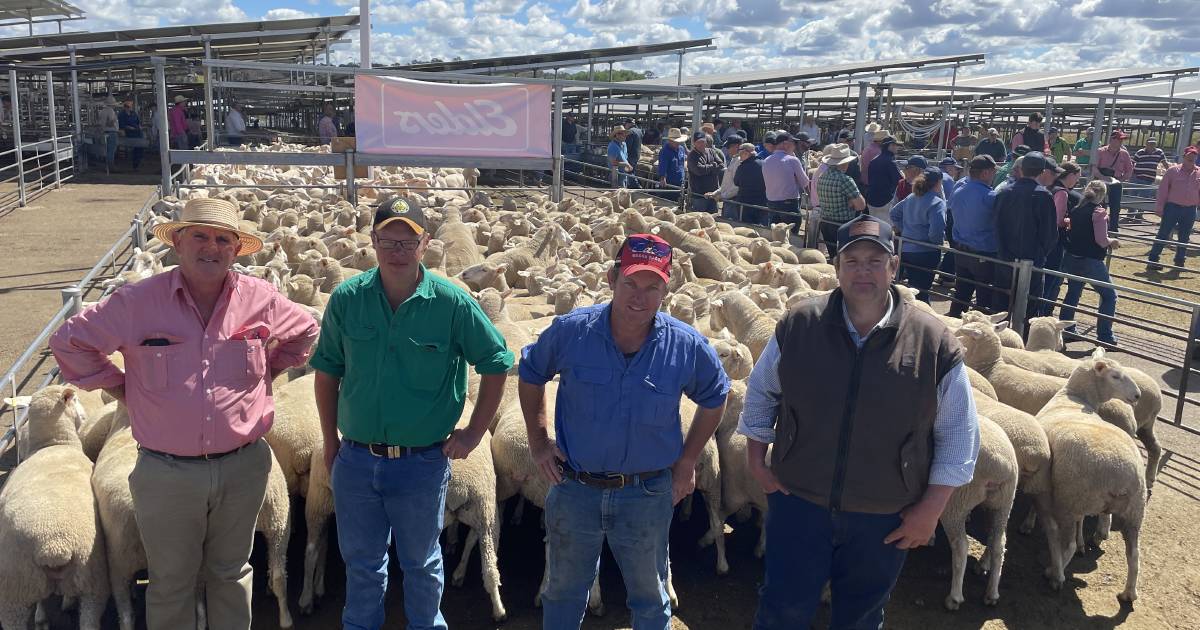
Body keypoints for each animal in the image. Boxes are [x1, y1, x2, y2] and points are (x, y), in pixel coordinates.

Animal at [0, 384, 108, 628]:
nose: (84, 417)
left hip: (16, 587)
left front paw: (42, 616)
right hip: (88, 578)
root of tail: (52, 546)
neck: (53, 445)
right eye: (76, 400)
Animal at [940, 415, 1017, 607]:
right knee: (998, 543)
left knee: (961, 545)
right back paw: (991, 594)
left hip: (955, 501)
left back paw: (954, 598)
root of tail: (1001, 464)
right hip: (1003, 504)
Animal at [1032, 355, 1142, 602]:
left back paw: (1055, 574)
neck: (1071, 397)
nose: (1138, 396)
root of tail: (1122, 476)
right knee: (1134, 556)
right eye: (1115, 376)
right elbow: (1082, 522)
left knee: (1067, 544)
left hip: (1069, 497)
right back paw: (1128, 593)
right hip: (1133, 513)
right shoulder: (1080, 503)